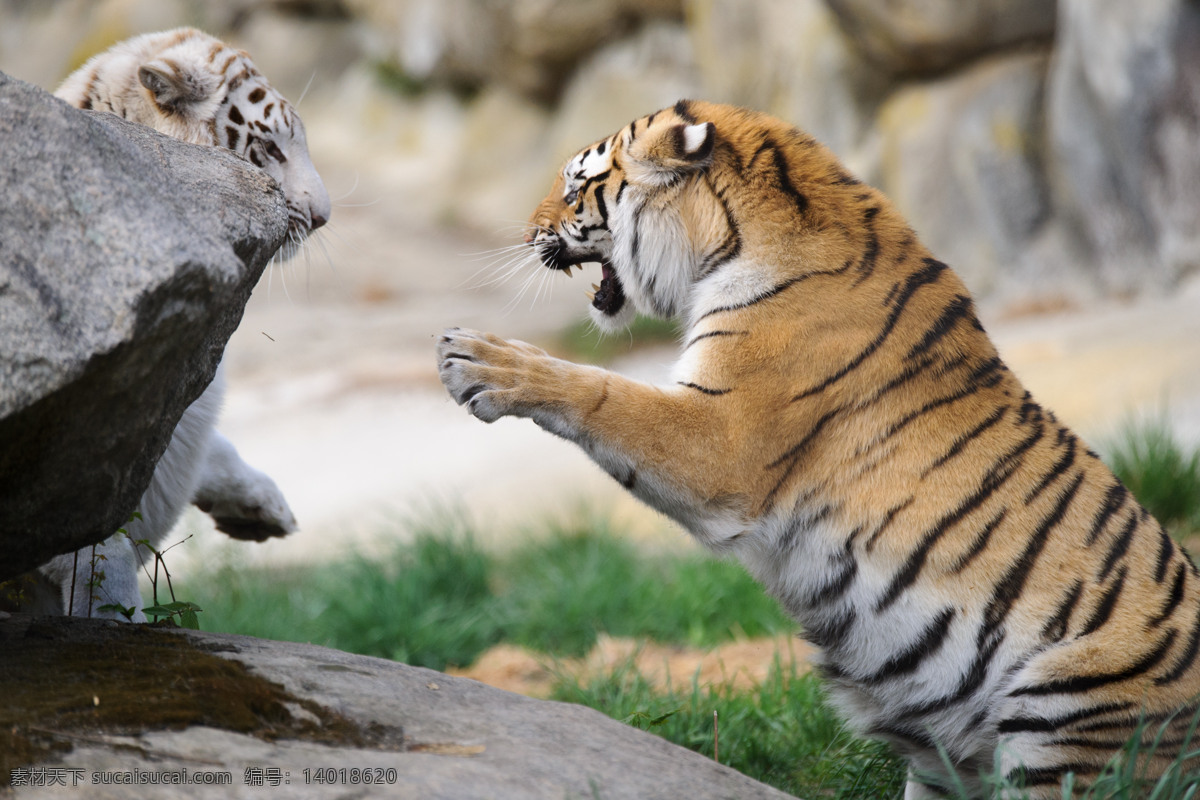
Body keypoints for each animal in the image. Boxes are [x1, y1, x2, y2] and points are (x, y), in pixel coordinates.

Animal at [434, 101, 1200, 800]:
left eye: (574, 188)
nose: (526, 233)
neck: (736, 240)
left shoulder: (722, 438)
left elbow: (603, 392)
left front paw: (480, 360)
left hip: (1065, 708)